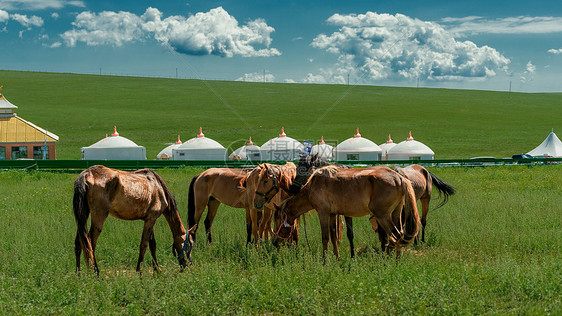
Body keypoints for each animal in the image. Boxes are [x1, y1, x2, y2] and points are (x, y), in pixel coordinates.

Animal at [274, 165, 418, 260]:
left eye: (277, 220)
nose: (274, 242)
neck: (312, 187)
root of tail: (399, 178)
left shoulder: (323, 213)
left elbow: (325, 238)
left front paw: (324, 262)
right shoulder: (332, 215)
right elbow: (333, 237)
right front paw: (337, 259)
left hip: (383, 216)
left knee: (395, 236)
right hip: (396, 214)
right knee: (399, 236)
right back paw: (397, 260)